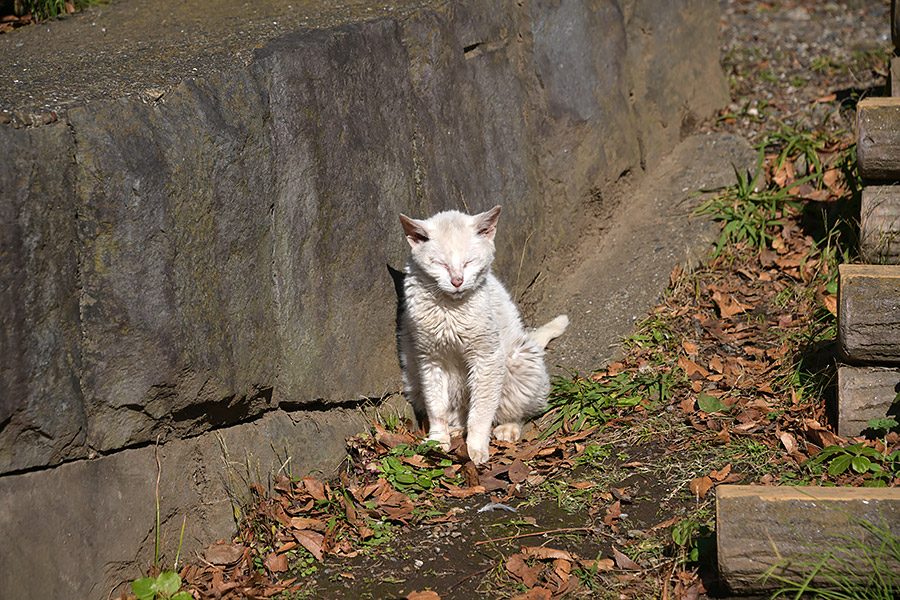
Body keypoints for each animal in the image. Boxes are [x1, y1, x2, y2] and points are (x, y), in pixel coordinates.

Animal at [398, 206, 568, 464]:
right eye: (440, 264)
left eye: (469, 262)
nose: (457, 281)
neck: (451, 309)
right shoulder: (429, 360)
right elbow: (436, 408)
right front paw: (438, 440)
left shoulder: (487, 357)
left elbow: (481, 412)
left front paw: (476, 448)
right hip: (414, 380)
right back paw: (454, 430)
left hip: (518, 360)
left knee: (521, 409)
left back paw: (508, 428)